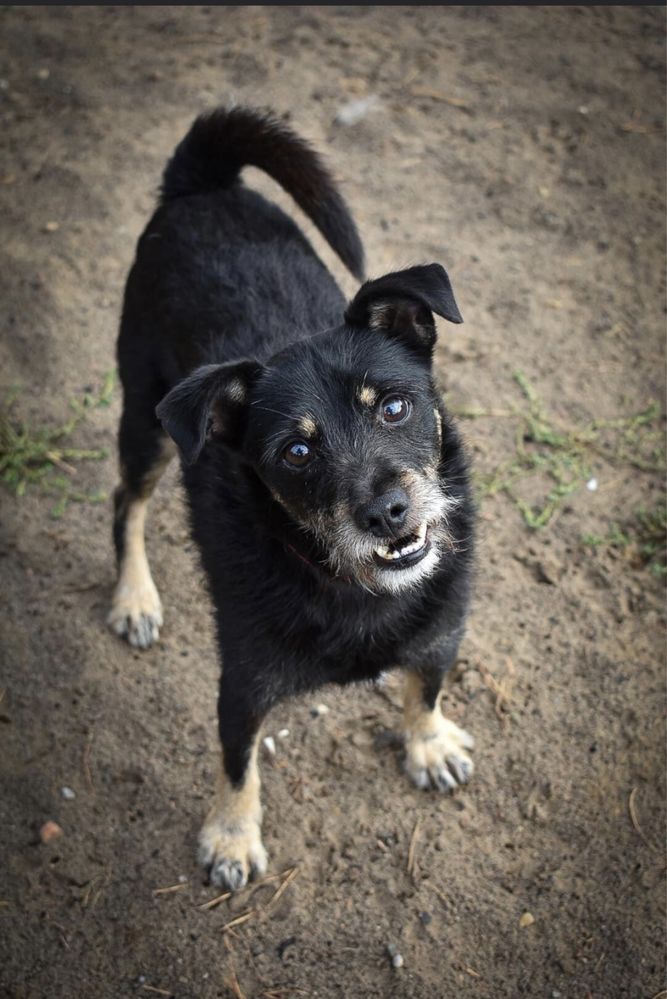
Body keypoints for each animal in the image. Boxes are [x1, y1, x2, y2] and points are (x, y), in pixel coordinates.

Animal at [109, 107, 474, 892]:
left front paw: (427, 742)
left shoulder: (443, 628)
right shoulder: (243, 681)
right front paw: (231, 836)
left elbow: (426, 684)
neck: (350, 584)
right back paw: (134, 597)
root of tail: (201, 184)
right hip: (145, 422)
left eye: (393, 406)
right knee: (127, 500)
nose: (387, 512)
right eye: (296, 453)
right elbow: (237, 761)